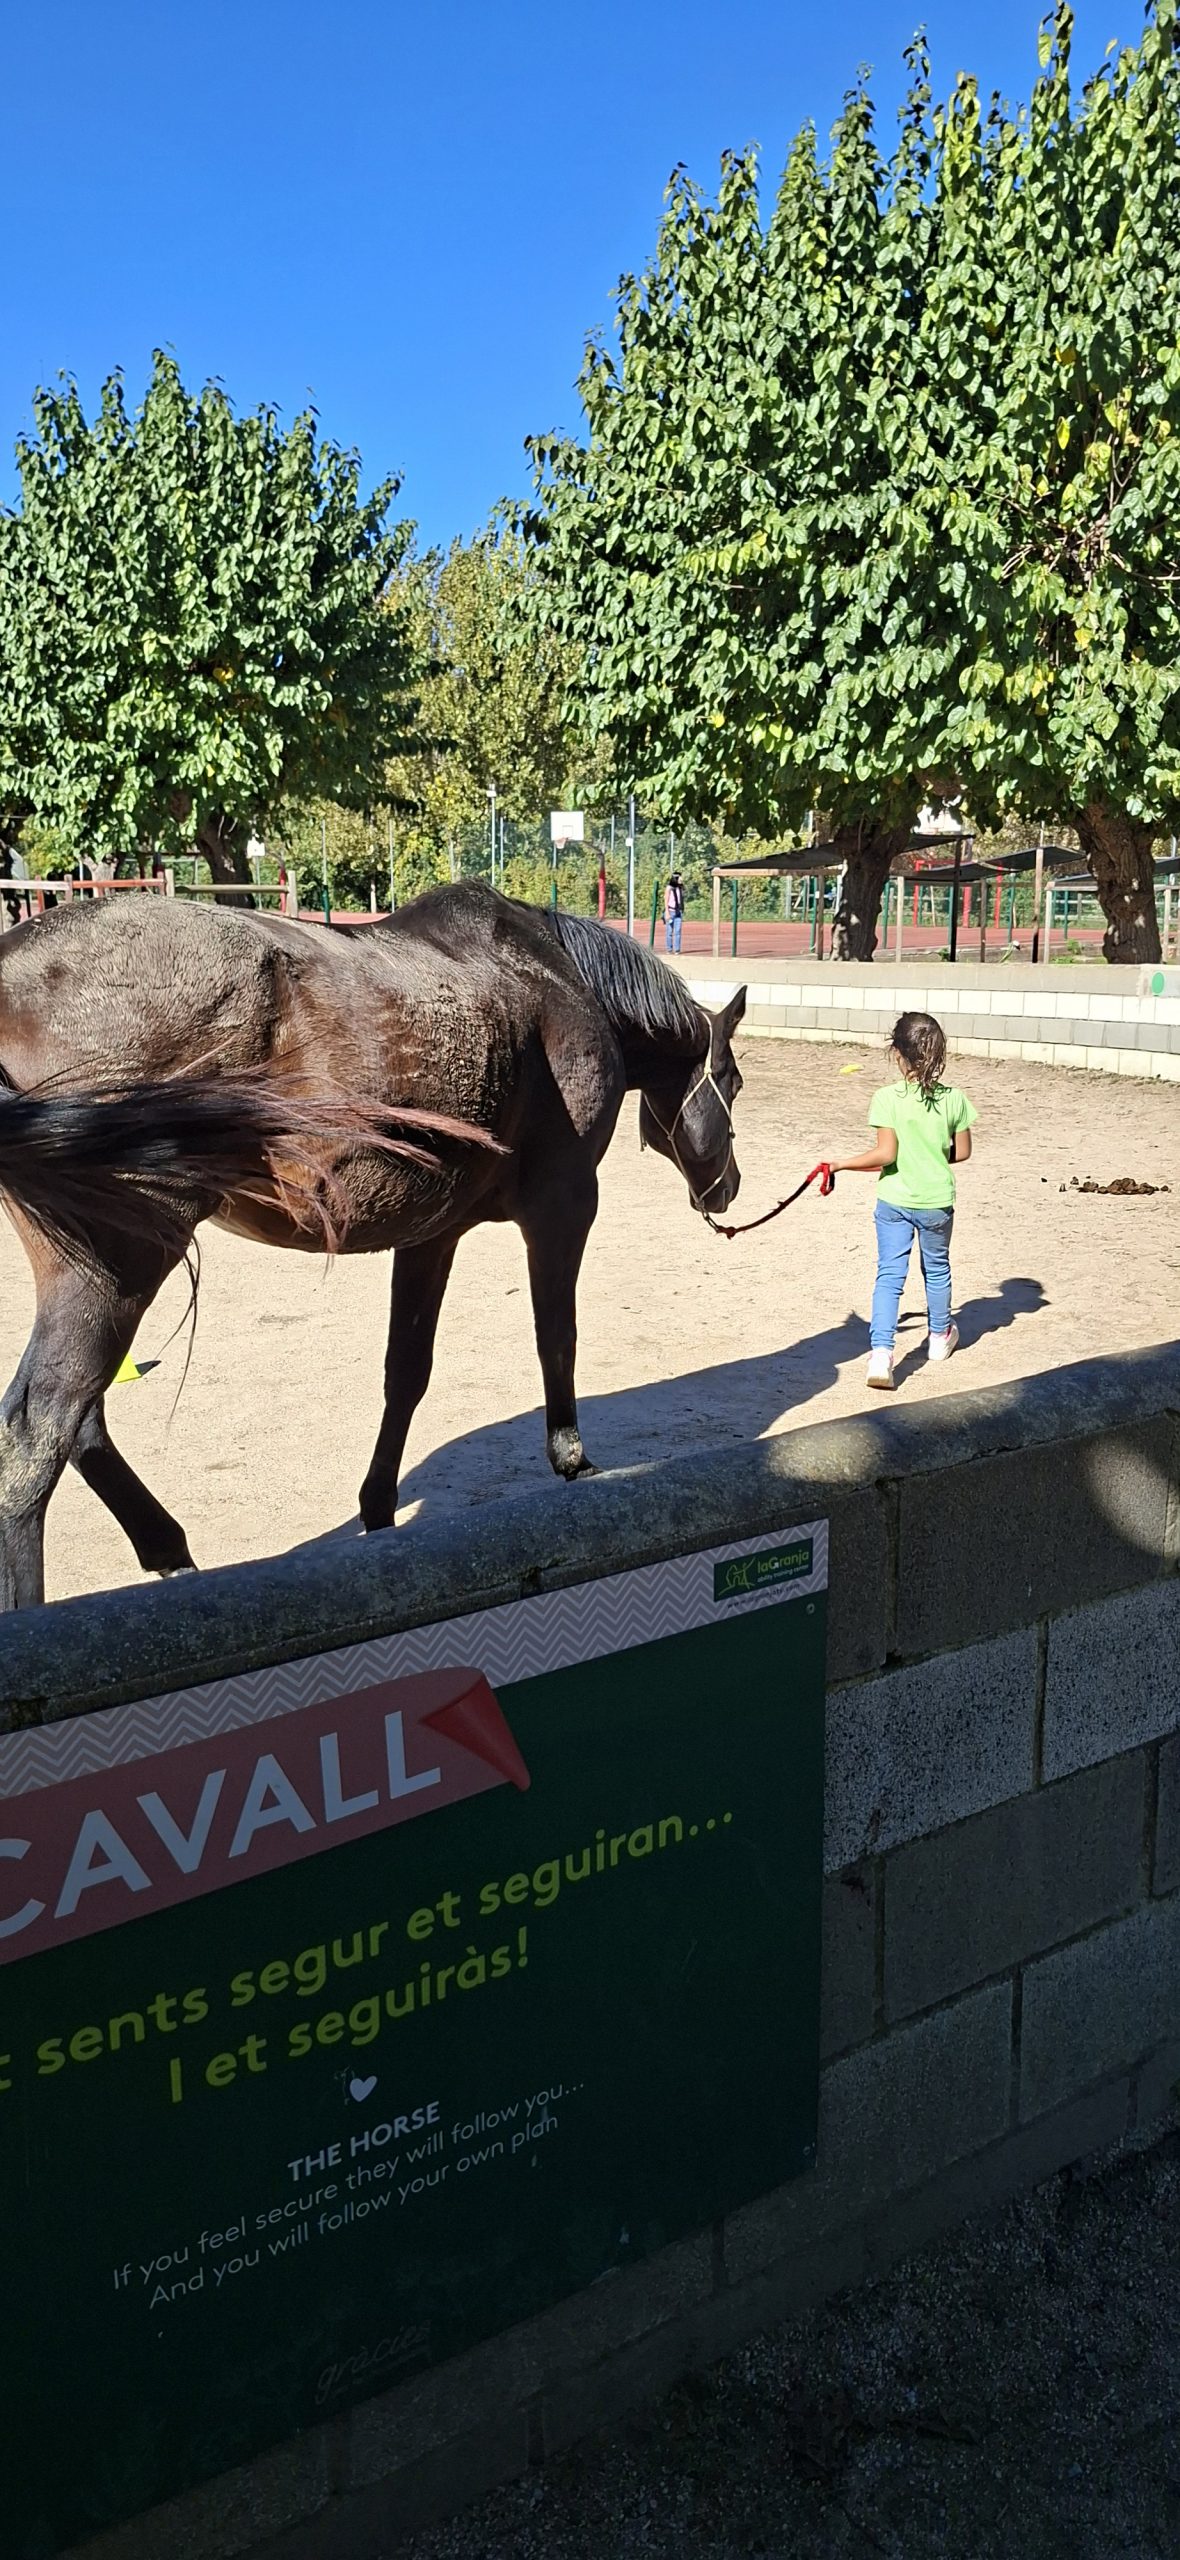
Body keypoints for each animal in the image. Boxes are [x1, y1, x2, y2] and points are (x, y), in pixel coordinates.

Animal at [0, 882, 746, 1610]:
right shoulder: (562, 1209)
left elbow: (406, 1372)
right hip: (120, 1267)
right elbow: (556, 1338)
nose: (729, 1188)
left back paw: (168, 1548)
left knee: (82, 1425)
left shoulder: (432, 1235)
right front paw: (573, 1459)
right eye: (733, 1082)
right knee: (36, 1439)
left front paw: (378, 1508)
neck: (556, 980)